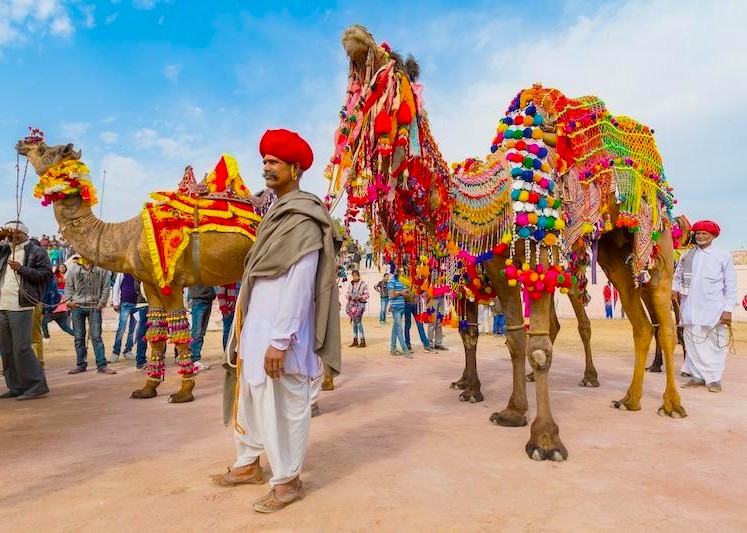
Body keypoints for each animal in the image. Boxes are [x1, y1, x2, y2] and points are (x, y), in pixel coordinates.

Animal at [16, 136, 259, 403]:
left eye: (43, 150)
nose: (21, 144)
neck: (126, 238)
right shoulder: (150, 283)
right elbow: (155, 334)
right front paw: (148, 388)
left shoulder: (172, 283)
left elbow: (179, 333)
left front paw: (184, 392)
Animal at [325, 25, 685, 461]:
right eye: (354, 84)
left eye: (391, 66)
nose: (354, 36)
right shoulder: (496, 272)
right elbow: (510, 338)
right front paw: (510, 410)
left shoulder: (537, 258)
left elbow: (538, 347)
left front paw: (544, 440)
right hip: (615, 253)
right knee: (640, 323)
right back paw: (629, 400)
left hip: (650, 240)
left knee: (658, 321)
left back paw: (664, 402)